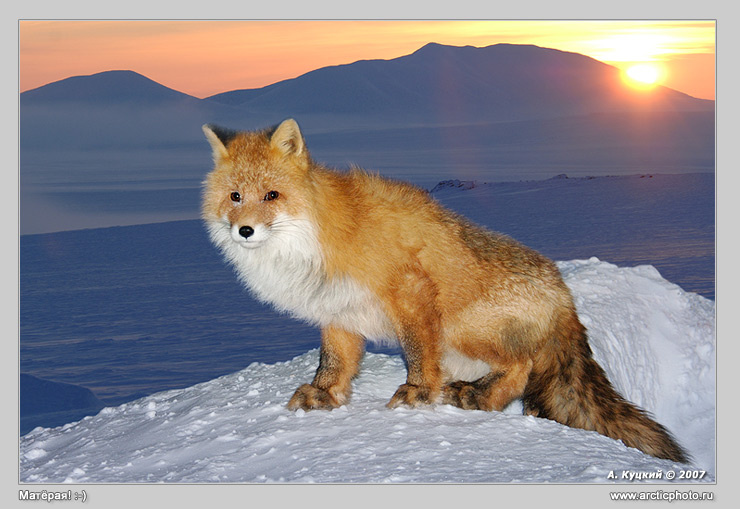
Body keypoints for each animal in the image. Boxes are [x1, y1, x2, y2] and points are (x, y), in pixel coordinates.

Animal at [201, 118, 688, 463]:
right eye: (235, 196)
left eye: (272, 195)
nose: (244, 231)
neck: (317, 240)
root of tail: (564, 296)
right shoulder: (339, 311)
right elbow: (335, 364)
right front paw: (324, 396)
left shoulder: (411, 291)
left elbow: (417, 354)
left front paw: (417, 394)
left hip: (461, 328)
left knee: (521, 367)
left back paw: (477, 396)